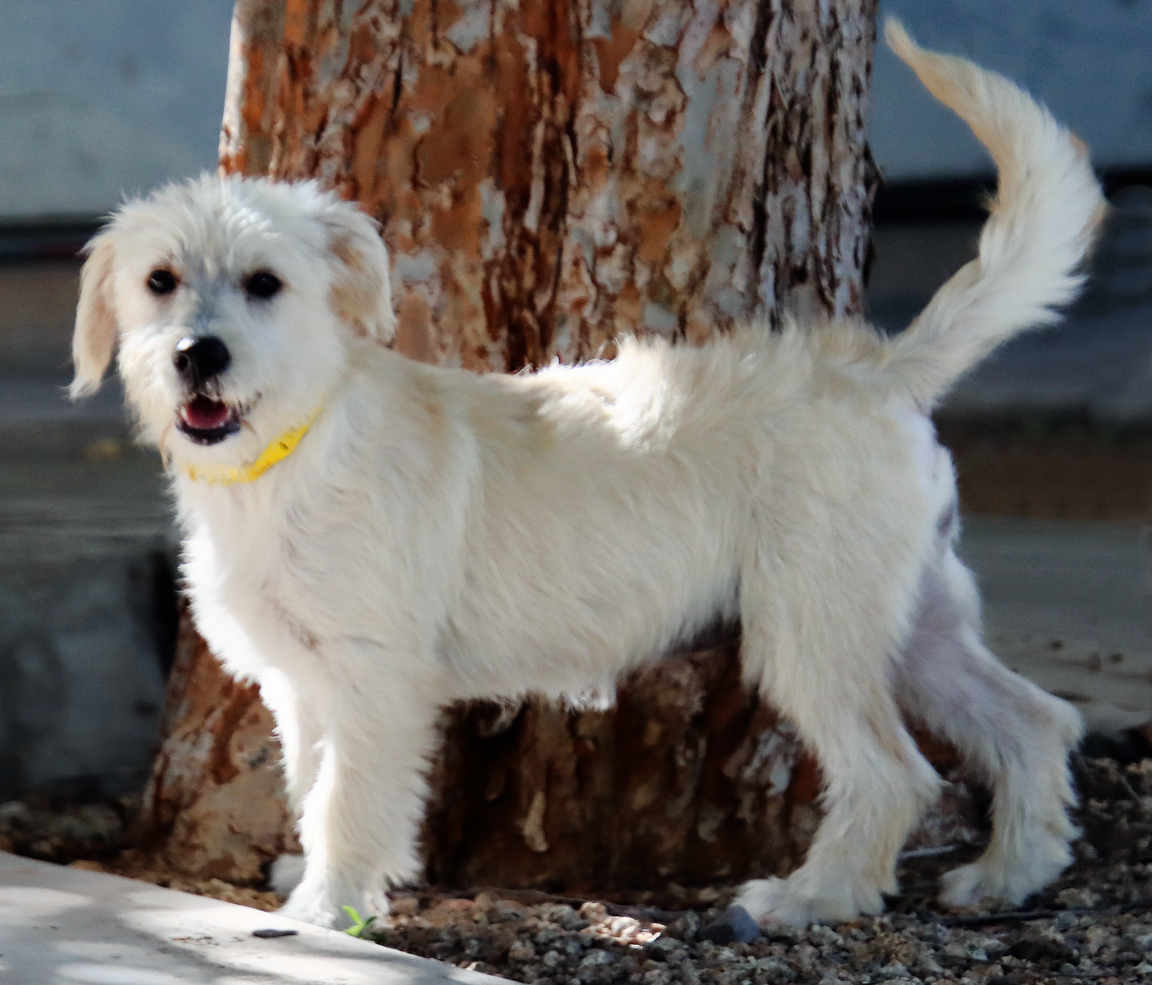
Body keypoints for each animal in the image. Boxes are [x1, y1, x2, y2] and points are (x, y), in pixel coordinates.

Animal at [74, 25, 1105, 930]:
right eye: (161, 281)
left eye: (264, 284)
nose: (197, 356)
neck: (294, 444)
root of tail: (880, 368)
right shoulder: (305, 681)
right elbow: (313, 780)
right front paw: (322, 876)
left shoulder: (373, 673)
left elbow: (349, 794)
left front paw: (328, 908)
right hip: (914, 620)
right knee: (1036, 720)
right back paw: (1009, 873)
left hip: (814, 631)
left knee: (898, 771)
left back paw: (812, 897)